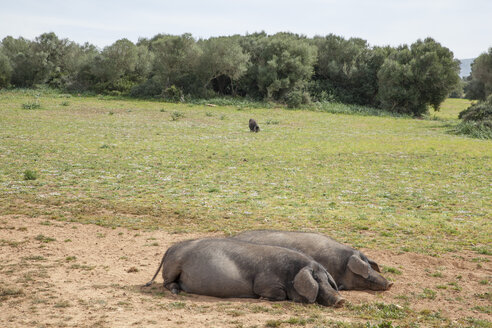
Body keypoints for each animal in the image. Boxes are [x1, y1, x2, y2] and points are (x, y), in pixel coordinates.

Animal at [144, 237, 346, 306]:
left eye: (327, 281)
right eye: (316, 281)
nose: (341, 300)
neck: (291, 274)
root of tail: (171, 247)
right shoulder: (265, 282)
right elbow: (275, 293)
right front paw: (263, 299)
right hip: (173, 266)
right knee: (167, 283)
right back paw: (176, 291)